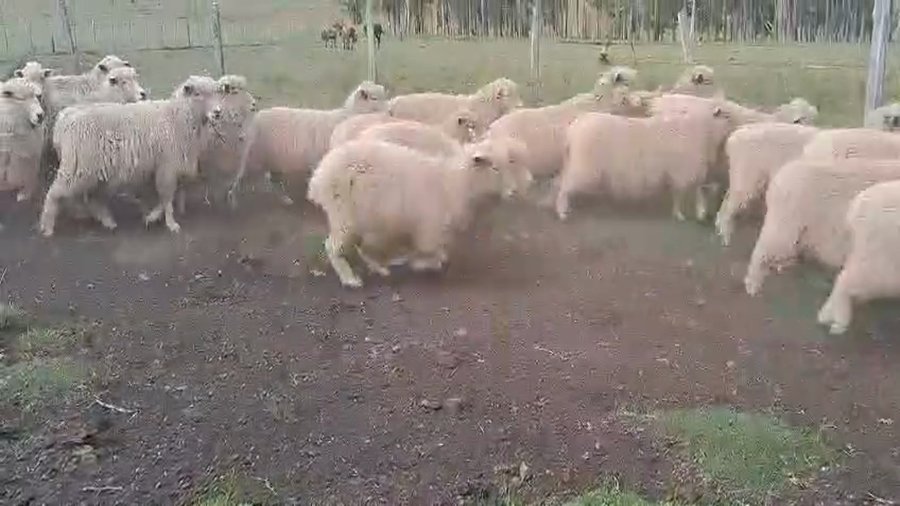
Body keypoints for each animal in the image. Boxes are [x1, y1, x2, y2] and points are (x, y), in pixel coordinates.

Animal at [38, 76, 224, 237]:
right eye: (197, 94)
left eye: (216, 93)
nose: (217, 112)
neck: (177, 116)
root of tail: (64, 119)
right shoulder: (167, 166)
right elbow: (166, 197)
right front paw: (171, 224)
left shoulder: (167, 167)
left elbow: (166, 196)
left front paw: (152, 217)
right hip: (78, 168)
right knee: (54, 194)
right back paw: (47, 227)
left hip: (88, 170)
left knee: (89, 198)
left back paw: (105, 220)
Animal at [227, 80, 387, 207]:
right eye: (374, 98)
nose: (389, 112)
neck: (345, 117)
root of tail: (255, 118)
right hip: (254, 155)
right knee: (240, 176)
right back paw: (232, 201)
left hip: (274, 159)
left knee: (273, 181)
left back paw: (286, 200)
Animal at [306, 137, 532, 288]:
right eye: (494, 167)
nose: (519, 189)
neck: (455, 184)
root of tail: (319, 175)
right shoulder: (430, 227)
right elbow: (430, 253)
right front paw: (423, 264)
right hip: (343, 213)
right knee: (333, 246)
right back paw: (350, 279)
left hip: (364, 217)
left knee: (361, 246)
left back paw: (379, 268)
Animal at [555, 96, 731, 222]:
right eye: (726, 115)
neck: (702, 130)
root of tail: (573, 130)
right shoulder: (683, 172)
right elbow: (682, 194)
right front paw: (680, 215)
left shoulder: (683, 172)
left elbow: (693, 191)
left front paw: (697, 212)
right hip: (584, 169)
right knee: (565, 188)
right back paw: (562, 213)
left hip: (575, 164)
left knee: (563, 183)